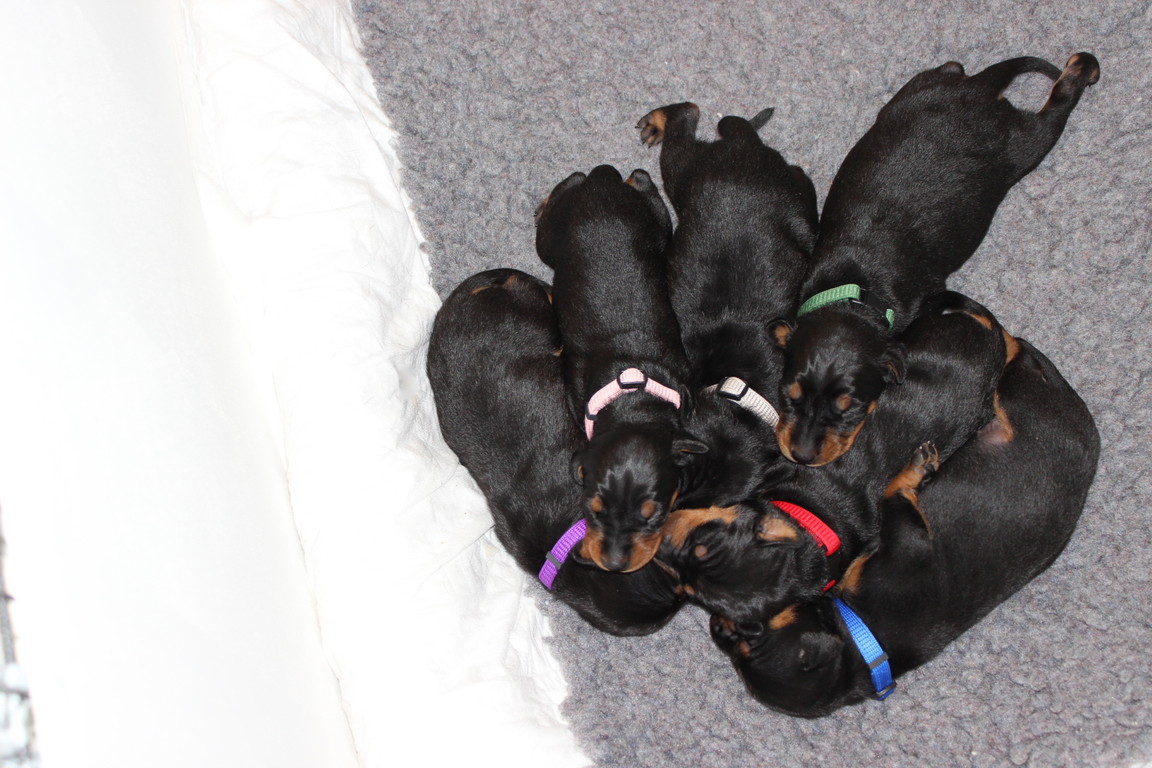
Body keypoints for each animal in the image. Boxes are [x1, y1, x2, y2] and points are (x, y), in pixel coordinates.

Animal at [536, 164, 707, 573]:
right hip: (551, 237)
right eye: (592, 510)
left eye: (654, 514)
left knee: (637, 180)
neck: (634, 402)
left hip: (658, 223)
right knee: (567, 187)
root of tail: (602, 181)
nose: (613, 565)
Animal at [711, 338, 1100, 716]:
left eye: (750, 638)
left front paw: (916, 469)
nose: (717, 625)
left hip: (1019, 397)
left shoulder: (910, 540)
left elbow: (894, 491)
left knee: (1018, 356)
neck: (864, 641)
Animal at [774, 52, 1100, 467]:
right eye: (788, 395)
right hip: (918, 91)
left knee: (1057, 104)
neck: (853, 290)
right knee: (952, 67)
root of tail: (976, 91)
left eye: (851, 408)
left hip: (1023, 142)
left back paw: (1080, 69)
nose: (800, 455)